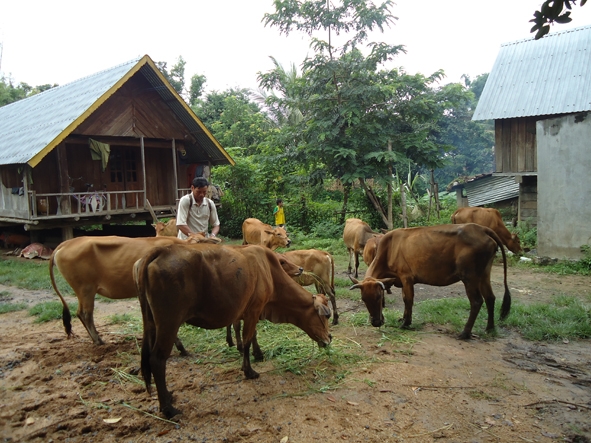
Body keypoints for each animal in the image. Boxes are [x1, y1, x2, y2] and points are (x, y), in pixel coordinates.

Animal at [48, 234, 220, 348]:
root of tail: (66, 243)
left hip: (83, 291)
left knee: (80, 313)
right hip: (86, 289)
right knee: (85, 314)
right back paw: (98, 340)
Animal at [136, 243, 336, 420]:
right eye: (326, 315)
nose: (329, 338)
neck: (270, 271)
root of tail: (161, 251)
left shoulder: (249, 312)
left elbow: (252, 335)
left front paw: (258, 354)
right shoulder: (254, 310)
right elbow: (247, 340)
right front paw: (249, 370)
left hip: (152, 322)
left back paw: (167, 396)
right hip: (169, 322)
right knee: (157, 359)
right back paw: (168, 408)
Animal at [350, 224, 512, 342]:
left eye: (378, 296)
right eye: (364, 299)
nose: (376, 322)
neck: (388, 249)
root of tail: (481, 228)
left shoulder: (406, 277)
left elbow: (408, 300)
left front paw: (406, 323)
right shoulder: (401, 280)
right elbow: (405, 299)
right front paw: (403, 318)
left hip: (469, 277)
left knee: (477, 301)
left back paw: (465, 333)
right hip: (484, 273)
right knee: (490, 298)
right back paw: (490, 328)